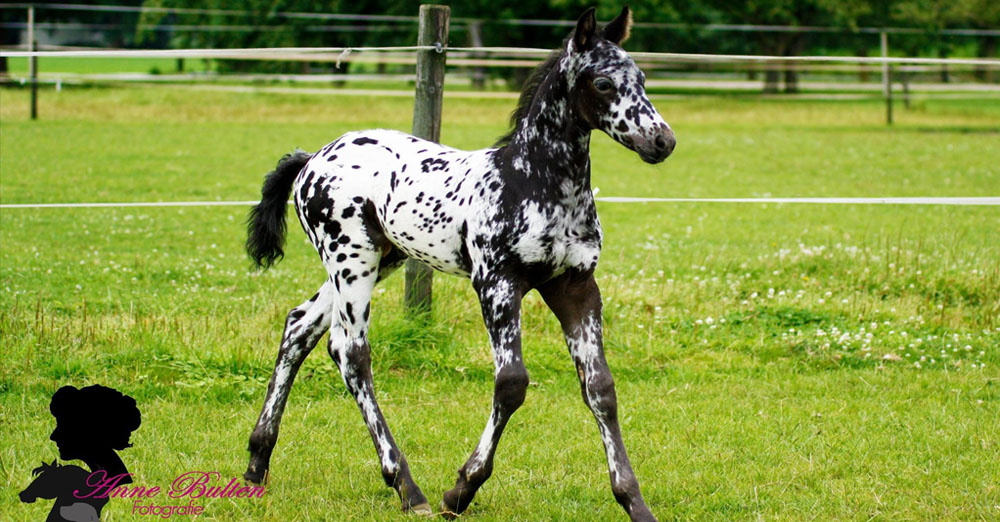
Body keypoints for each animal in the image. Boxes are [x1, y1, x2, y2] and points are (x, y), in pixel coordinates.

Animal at [246, 6, 676, 516]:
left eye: (642, 78)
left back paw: (256, 463)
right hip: (351, 259)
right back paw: (407, 487)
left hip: (379, 259)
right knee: (351, 352)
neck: (534, 182)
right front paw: (462, 488)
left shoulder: (576, 287)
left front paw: (634, 503)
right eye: (604, 83)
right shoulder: (497, 284)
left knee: (299, 327)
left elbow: (601, 389)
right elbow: (511, 383)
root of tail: (314, 157)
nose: (662, 142)